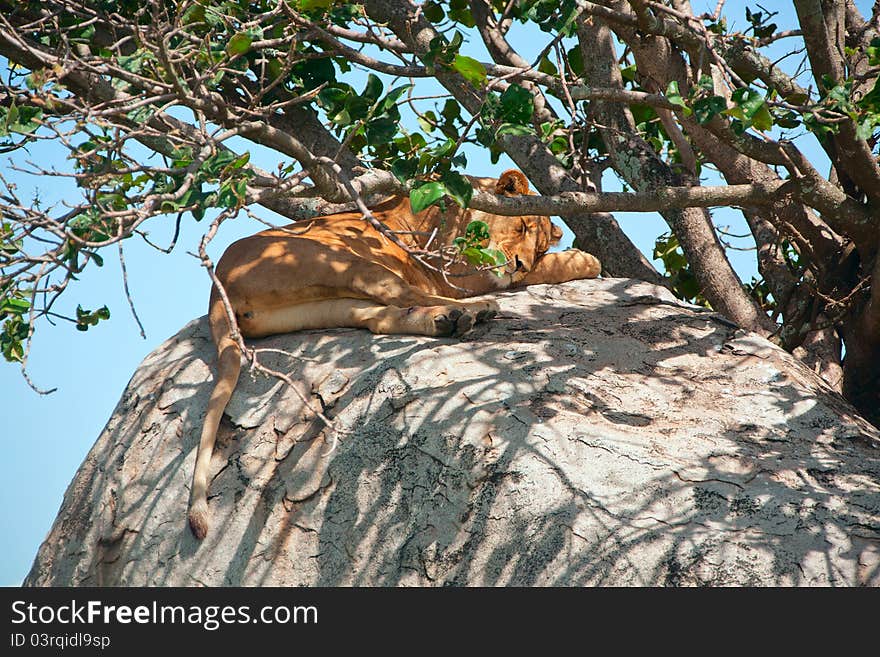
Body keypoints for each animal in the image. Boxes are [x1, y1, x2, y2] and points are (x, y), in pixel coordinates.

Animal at [188, 169, 600, 540]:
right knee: (406, 294)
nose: (520, 264)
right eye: (523, 226)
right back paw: (475, 310)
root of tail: (216, 288)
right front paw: (585, 260)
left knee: (381, 318)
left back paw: (447, 321)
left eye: (539, 244)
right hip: (346, 260)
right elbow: (539, 272)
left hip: (332, 303)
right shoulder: (463, 270)